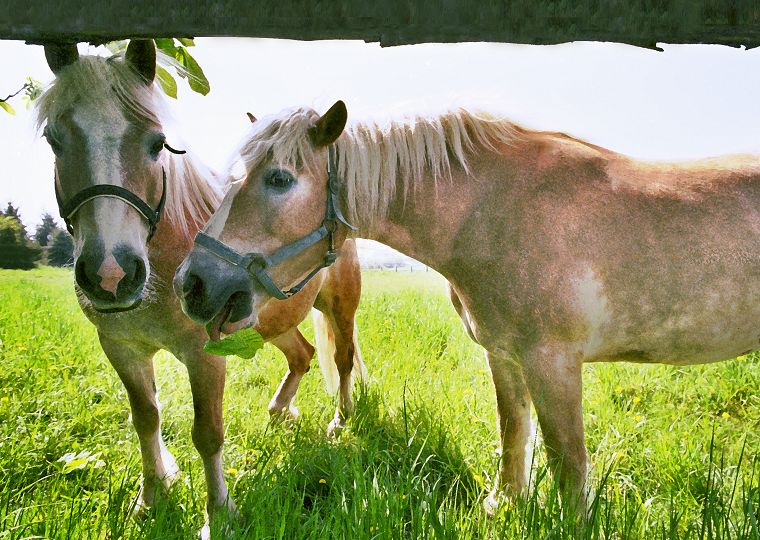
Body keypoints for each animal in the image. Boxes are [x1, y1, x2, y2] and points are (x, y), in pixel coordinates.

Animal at [37, 43, 365, 536]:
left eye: (157, 143)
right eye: (54, 140)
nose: (111, 272)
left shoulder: (205, 355)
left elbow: (207, 434)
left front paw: (220, 515)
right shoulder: (121, 347)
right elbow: (145, 418)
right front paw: (151, 497)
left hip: (339, 307)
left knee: (341, 360)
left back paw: (340, 422)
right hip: (272, 320)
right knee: (302, 355)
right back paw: (279, 411)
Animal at [174, 99, 760, 517]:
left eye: (279, 179)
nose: (192, 283)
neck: (498, 209)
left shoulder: (553, 362)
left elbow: (568, 462)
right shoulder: (505, 355)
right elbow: (513, 433)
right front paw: (507, 504)